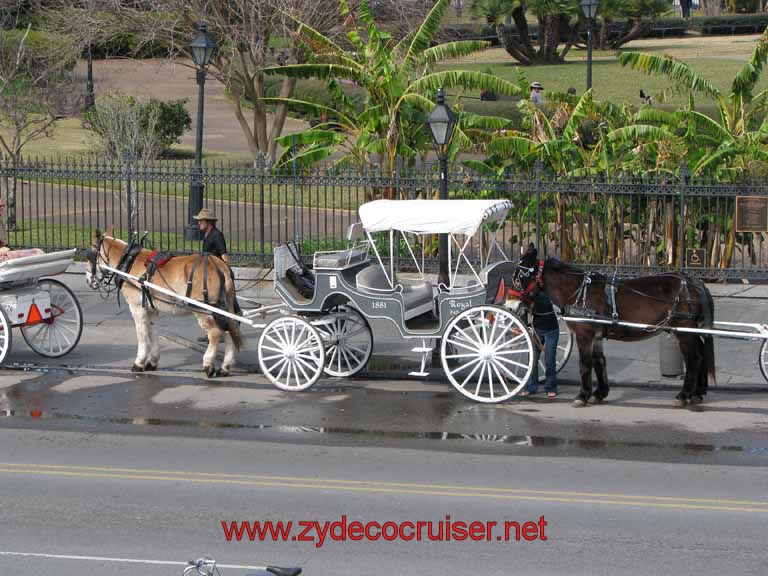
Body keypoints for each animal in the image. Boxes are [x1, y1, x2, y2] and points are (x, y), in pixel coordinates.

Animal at [84, 232, 242, 376]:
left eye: (90, 255)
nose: (88, 279)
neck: (128, 261)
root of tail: (222, 267)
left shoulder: (137, 308)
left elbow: (142, 335)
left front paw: (139, 363)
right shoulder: (151, 309)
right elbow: (153, 332)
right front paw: (152, 362)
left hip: (203, 310)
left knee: (215, 333)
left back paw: (208, 364)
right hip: (221, 310)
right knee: (228, 331)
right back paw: (225, 367)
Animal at [504, 245, 712, 408]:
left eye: (519, 276)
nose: (509, 306)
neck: (579, 291)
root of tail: (694, 282)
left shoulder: (584, 333)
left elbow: (585, 363)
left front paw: (582, 395)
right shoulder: (595, 335)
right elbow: (599, 362)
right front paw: (599, 393)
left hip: (684, 331)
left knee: (693, 359)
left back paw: (684, 396)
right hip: (692, 331)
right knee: (702, 356)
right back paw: (697, 394)